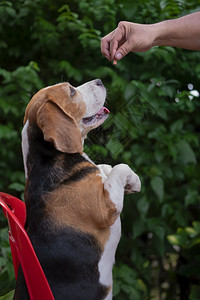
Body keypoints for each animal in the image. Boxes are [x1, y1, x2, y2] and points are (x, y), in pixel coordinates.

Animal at [14, 79, 141, 300]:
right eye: (72, 92)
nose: (99, 81)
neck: (49, 159)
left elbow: (106, 167)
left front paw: (131, 181)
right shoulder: (105, 206)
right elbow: (120, 167)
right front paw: (134, 179)